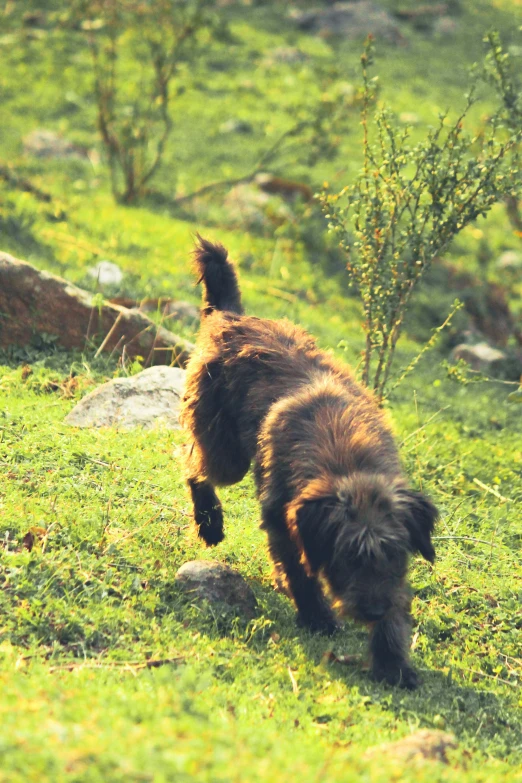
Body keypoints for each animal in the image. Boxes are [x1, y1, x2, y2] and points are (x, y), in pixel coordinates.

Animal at [181, 236, 436, 688]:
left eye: (394, 553)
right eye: (348, 555)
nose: (372, 611)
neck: (347, 460)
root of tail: (232, 315)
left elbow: (395, 605)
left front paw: (393, 662)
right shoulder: (282, 516)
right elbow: (300, 570)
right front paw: (317, 616)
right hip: (226, 453)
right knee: (195, 469)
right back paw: (209, 520)